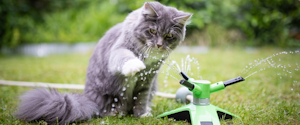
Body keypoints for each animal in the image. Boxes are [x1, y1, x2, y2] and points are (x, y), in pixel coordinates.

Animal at [15, 1, 191, 124]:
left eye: (169, 36)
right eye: (153, 31)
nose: (159, 45)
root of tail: (87, 100)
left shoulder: (147, 80)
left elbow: (141, 99)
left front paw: (142, 115)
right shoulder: (119, 49)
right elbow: (125, 57)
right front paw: (135, 65)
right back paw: (116, 113)